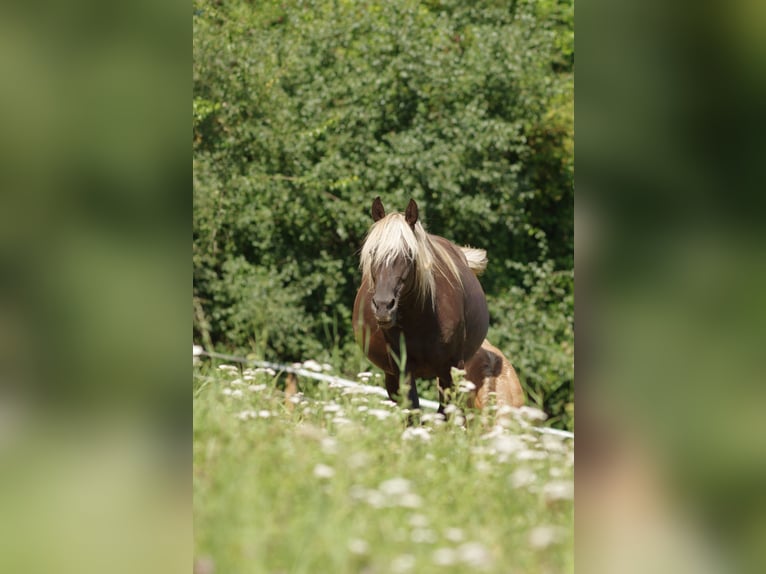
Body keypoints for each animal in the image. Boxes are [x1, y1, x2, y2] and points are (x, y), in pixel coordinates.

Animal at [356, 198, 492, 414]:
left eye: (409, 254)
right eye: (373, 252)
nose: (383, 306)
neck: (422, 320)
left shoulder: (451, 369)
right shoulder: (403, 372)